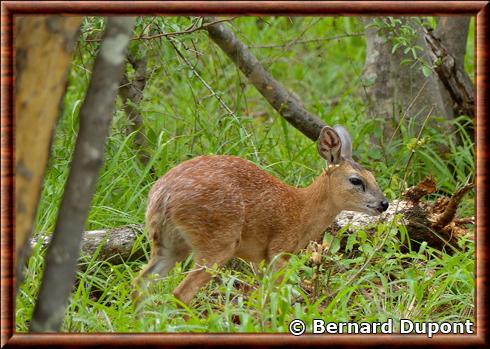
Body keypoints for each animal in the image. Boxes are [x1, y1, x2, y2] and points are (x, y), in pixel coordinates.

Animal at [132, 124, 388, 304]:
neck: (302, 210)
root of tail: (162, 196)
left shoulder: (260, 259)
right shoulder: (278, 250)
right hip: (217, 241)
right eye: (356, 180)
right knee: (180, 293)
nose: (384, 203)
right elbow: (277, 295)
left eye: (373, 176)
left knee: (140, 284)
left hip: (169, 243)